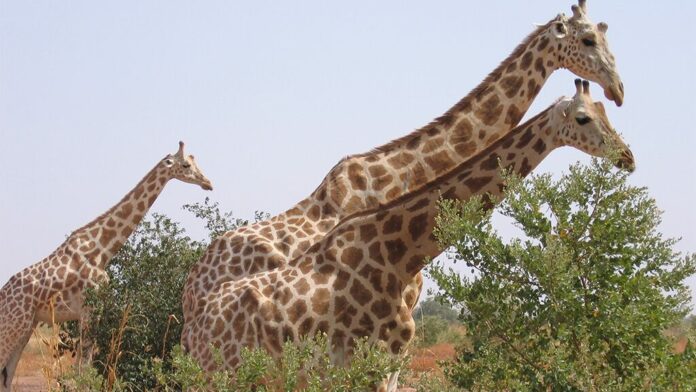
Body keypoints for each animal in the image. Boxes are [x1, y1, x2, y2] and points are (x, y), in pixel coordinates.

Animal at [0, 140, 212, 388]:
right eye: (186, 165)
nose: (208, 183)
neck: (102, 249)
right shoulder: (88, 310)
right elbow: (82, 370)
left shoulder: (93, 310)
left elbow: (85, 367)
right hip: (14, 325)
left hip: (27, 327)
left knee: (7, 376)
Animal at [188, 80, 632, 392]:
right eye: (583, 118)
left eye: (606, 112)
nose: (627, 156)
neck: (400, 257)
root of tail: (196, 321)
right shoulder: (367, 366)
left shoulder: (391, 365)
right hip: (219, 376)